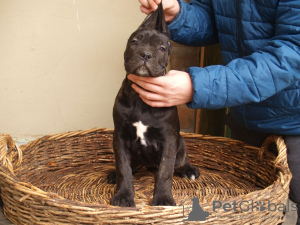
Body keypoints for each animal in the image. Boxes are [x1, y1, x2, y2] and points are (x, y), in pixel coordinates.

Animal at [108, 3, 199, 207]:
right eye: (134, 42)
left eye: (162, 48)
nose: (146, 54)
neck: (140, 99)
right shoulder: (120, 137)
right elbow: (123, 168)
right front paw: (123, 195)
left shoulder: (169, 140)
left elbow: (165, 172)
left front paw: (163, 198)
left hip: (180, 146)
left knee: (179, 164)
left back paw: (190, 171)